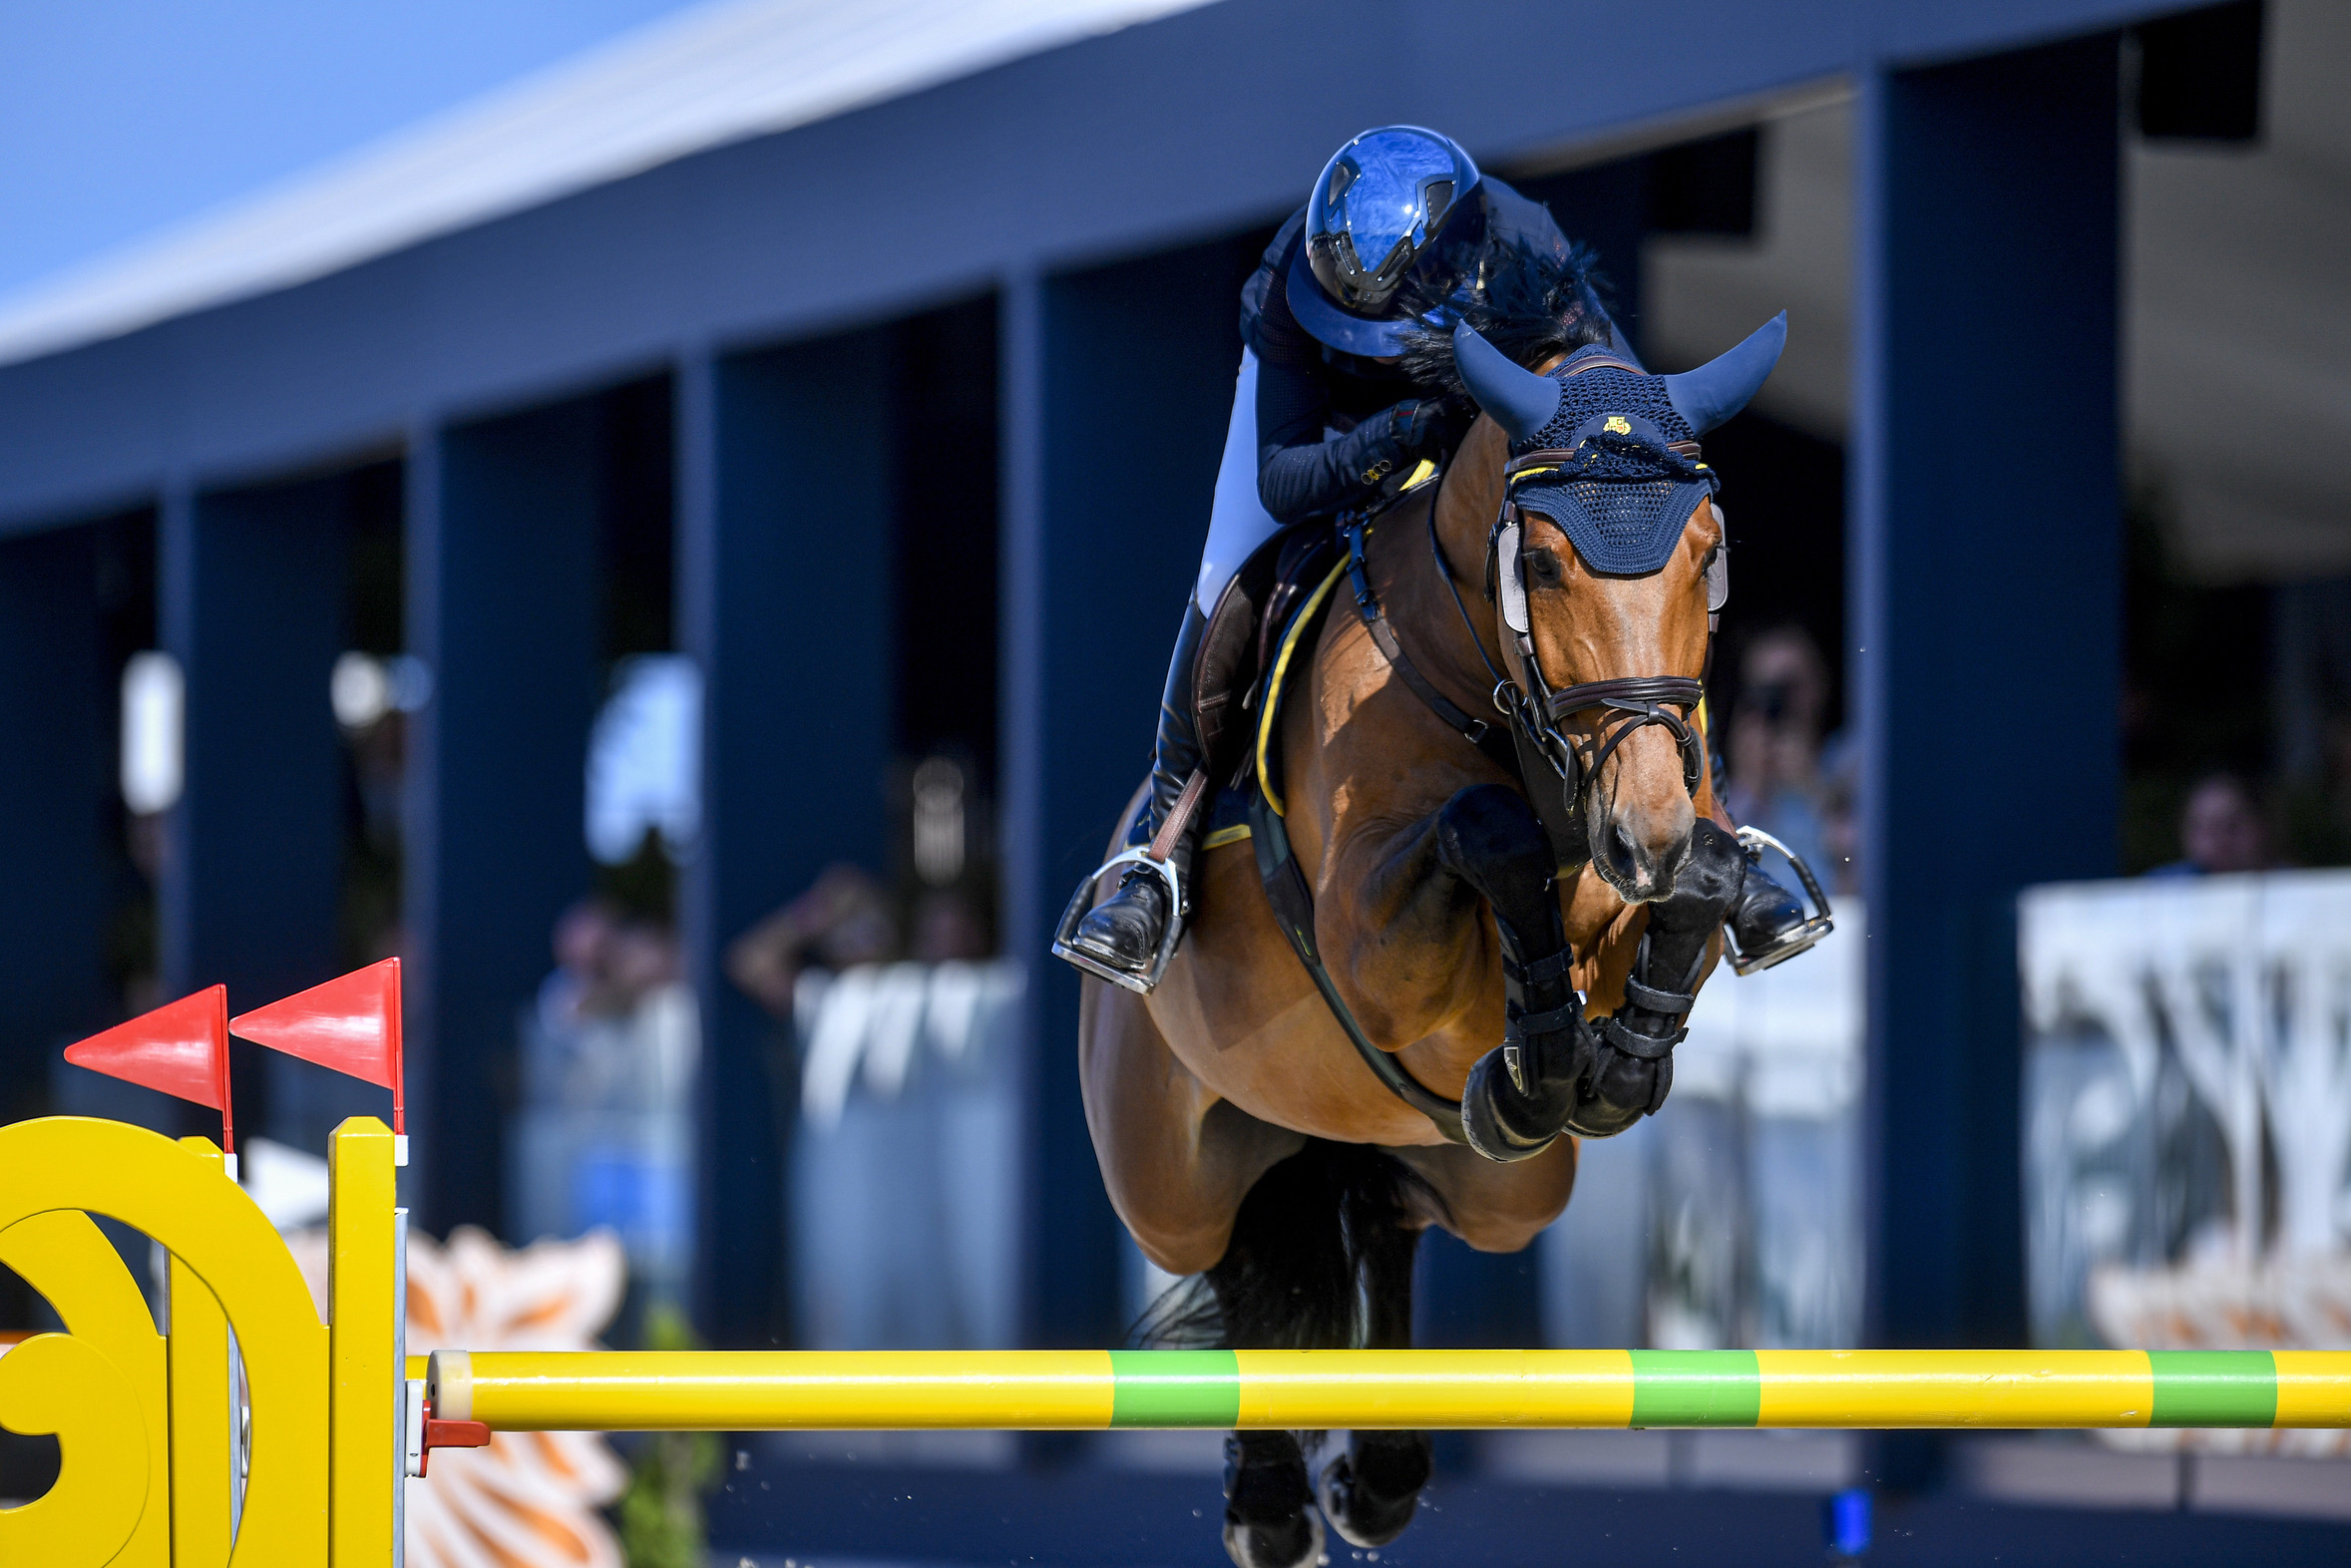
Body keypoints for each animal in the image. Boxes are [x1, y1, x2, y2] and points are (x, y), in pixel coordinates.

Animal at [1076, 300, 1776, 1560]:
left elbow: (1697, 882)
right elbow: (1482, 830)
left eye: (1706, 552)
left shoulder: (1653, 841)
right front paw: (1542, 1052)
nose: (1636, 831)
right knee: (1235, 1250)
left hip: (1498, 1192)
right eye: (1540, 563)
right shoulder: (1373, 945)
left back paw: (1379, 1469)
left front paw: (1603, 1066)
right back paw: (1269, 1504)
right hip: (1164, 1179)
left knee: (1386, 1214)